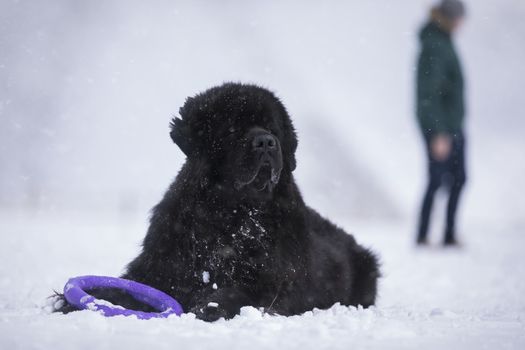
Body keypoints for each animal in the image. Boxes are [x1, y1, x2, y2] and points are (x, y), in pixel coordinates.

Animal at [55, 83, 378, 322]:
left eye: (272, 128)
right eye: (232, 129)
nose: (266, 142)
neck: (234, 215)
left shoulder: (275, 283)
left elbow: (242, 292)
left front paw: (211, 305)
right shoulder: (159, 267)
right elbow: (125, 289)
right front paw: (75, 302)